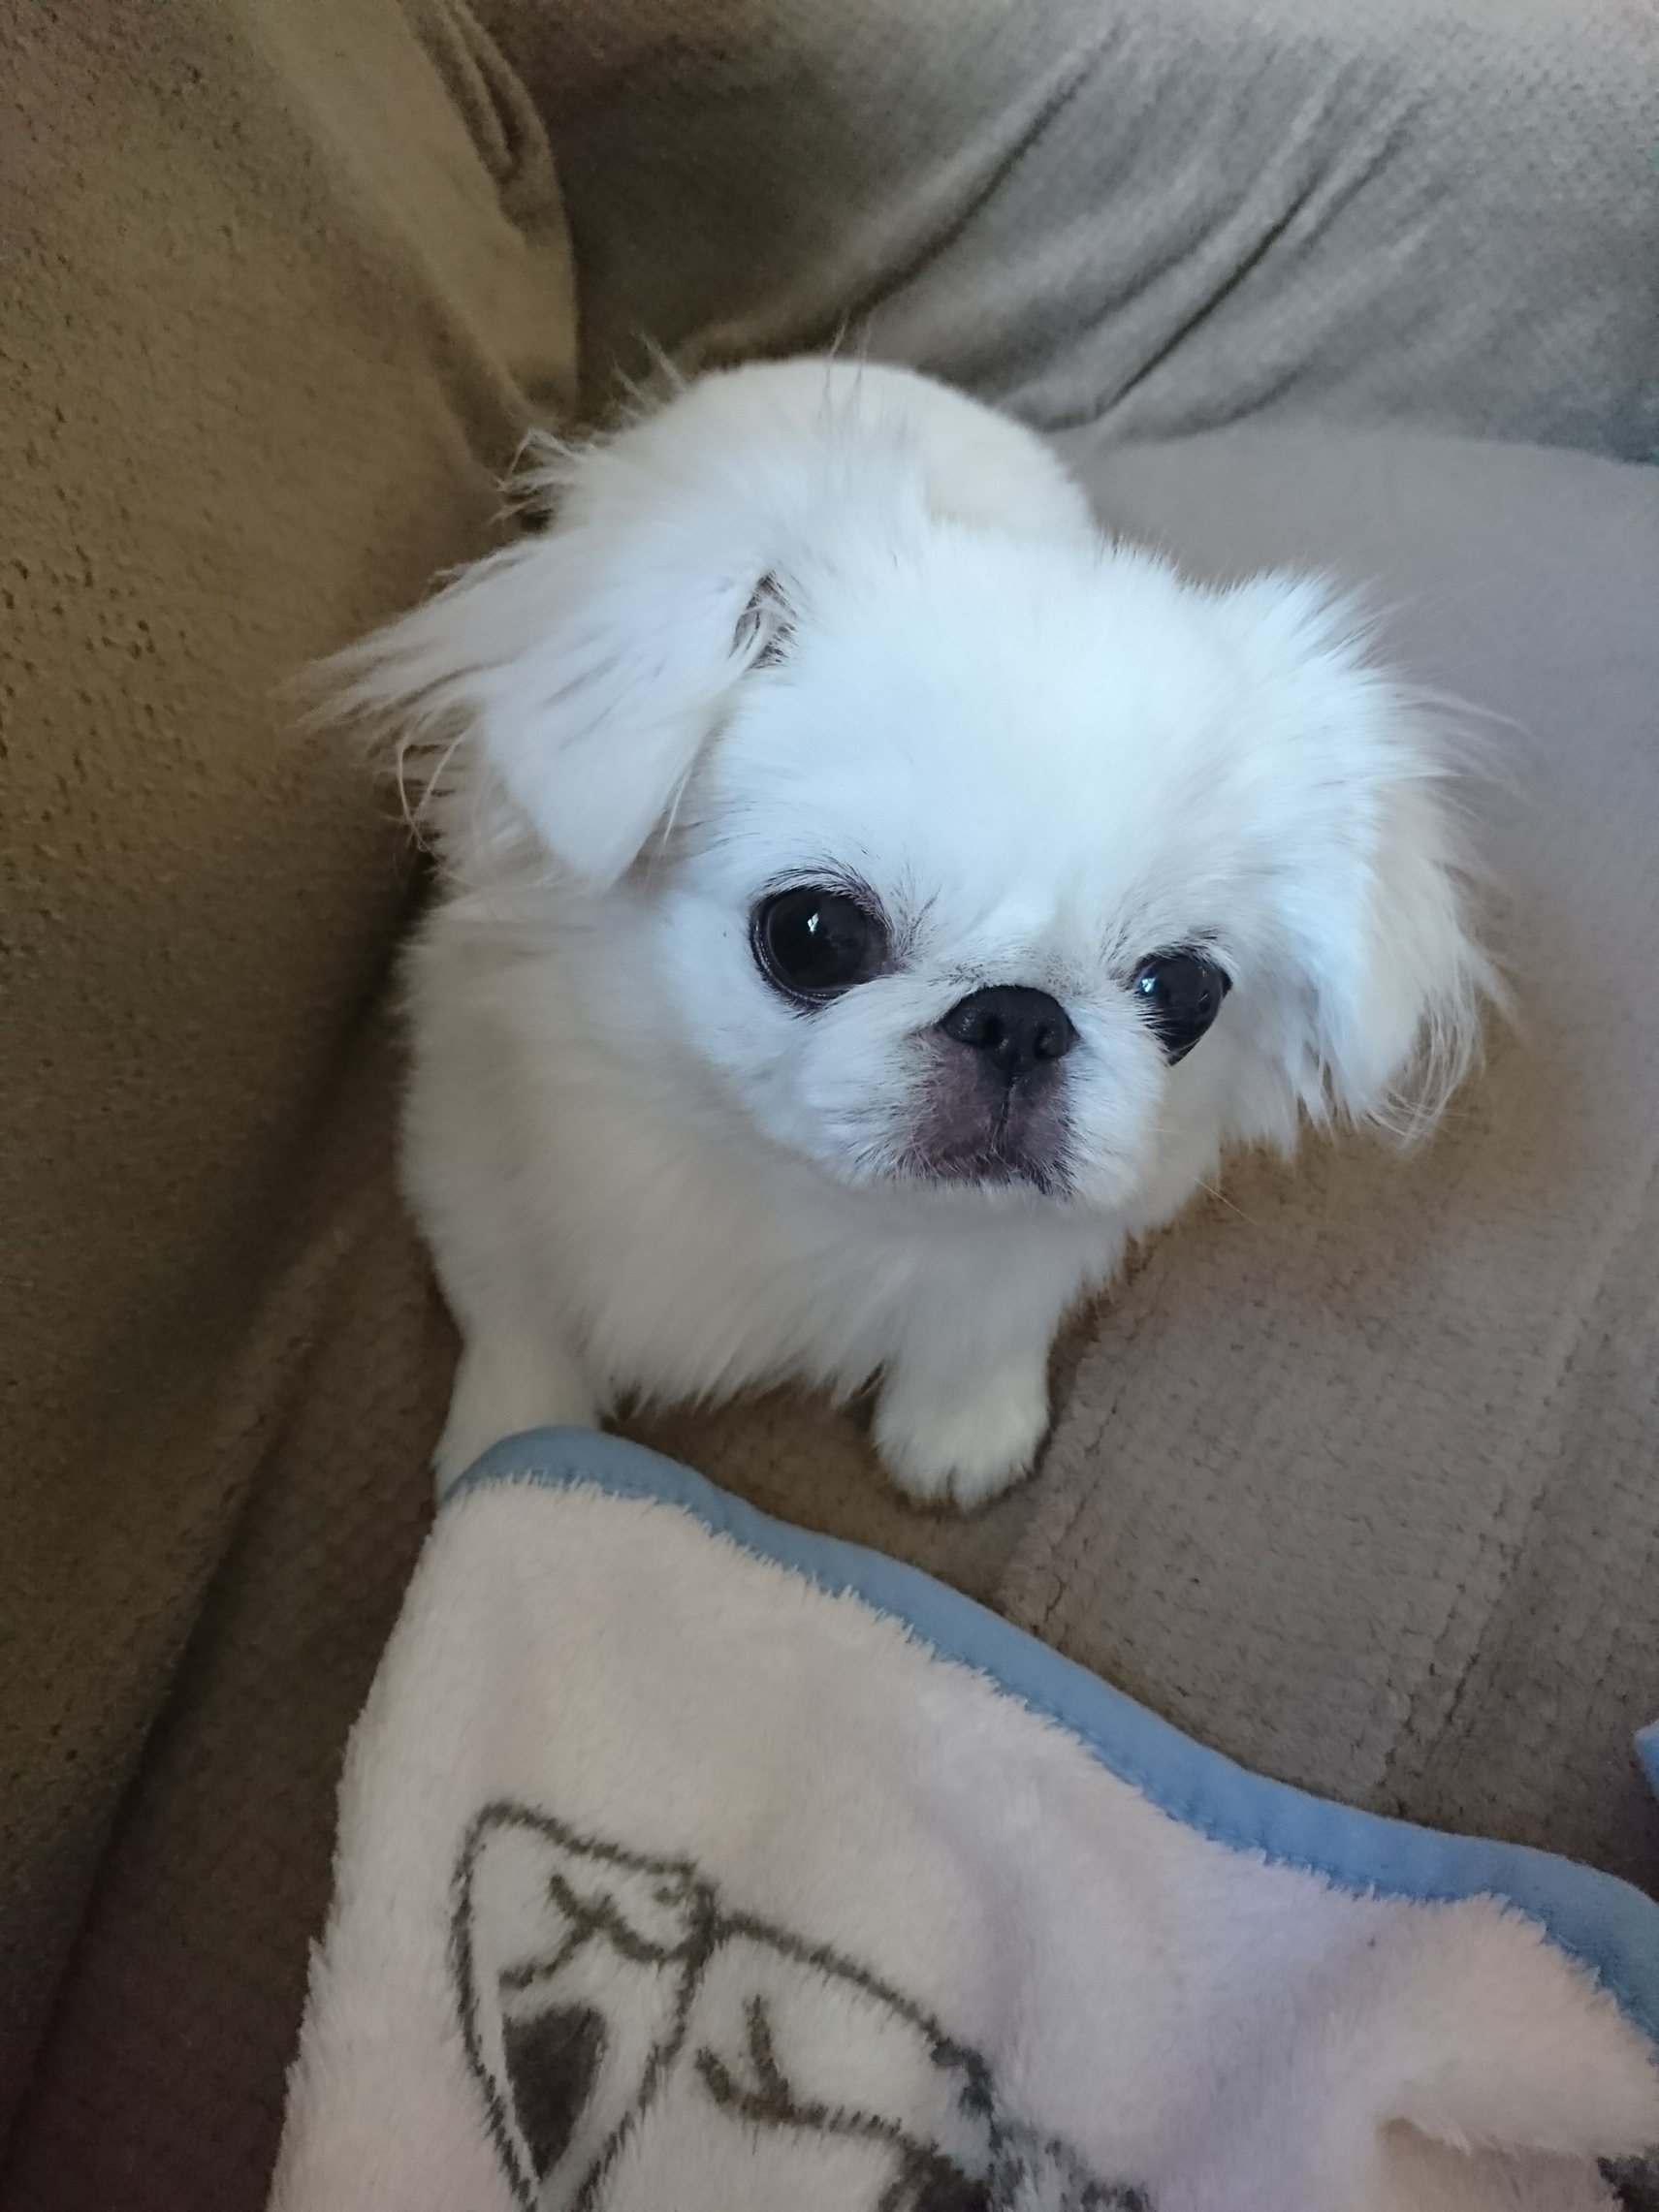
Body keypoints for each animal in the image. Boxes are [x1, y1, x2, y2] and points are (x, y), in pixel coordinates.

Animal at [330, 357, 1492, 1506]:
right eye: (812, 932)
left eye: (1180, 992)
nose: (1019, 1017)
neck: (784, 1190)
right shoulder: (466, 1145)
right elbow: (516, 1313)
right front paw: (507, 1445)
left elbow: (997, 1303)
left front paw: (961, 1419)